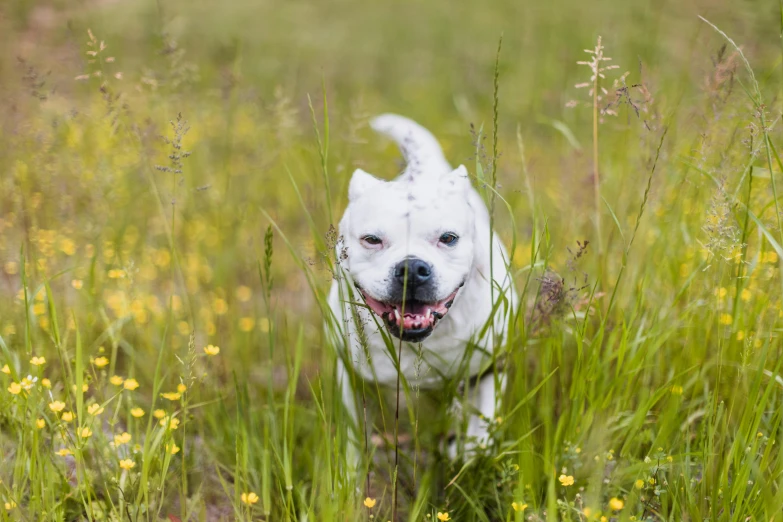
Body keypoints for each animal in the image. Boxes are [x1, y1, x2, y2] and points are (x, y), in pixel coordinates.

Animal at [328, 114, 516, 464]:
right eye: (372, 240)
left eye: (448, 238)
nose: (412, 269)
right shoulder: (352, 378)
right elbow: (354, 440)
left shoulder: (488, 368)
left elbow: (479, 435)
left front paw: (463, 448)